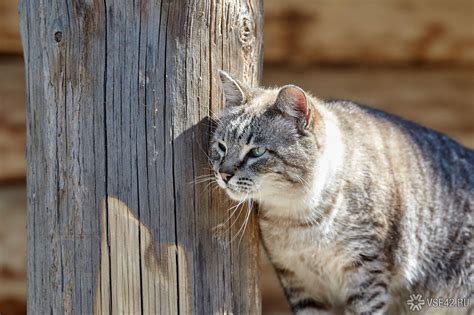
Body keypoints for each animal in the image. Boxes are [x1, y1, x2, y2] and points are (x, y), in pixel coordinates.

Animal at [209, 71, 472, 315]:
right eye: (221, 147)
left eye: (257, 152)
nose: (224, 174)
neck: (296, 216)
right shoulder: (299, 282)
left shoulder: (365, 274)